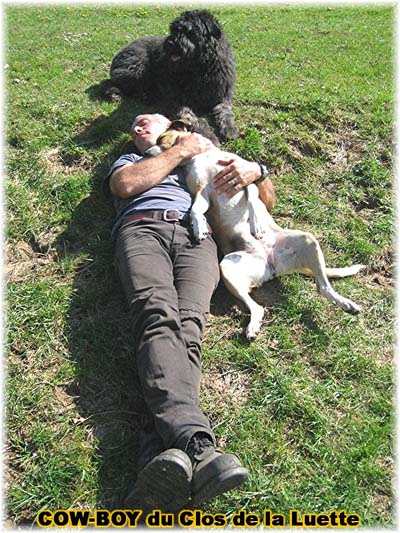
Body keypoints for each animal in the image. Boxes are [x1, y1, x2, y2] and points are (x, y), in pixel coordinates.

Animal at [104, 9, 239, 141]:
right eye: (173, 29)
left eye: (189, 31)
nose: (169, 43)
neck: (201, 67)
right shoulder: (176, 100)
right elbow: (192, 117)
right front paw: (208, 135)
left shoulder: (223, 96)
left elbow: (225, 112)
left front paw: (229, 129)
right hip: (135, 69)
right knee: (112, 82)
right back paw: (115, 93)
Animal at [148, 125, 364, 336]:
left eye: (161, 139)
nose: (147, 153)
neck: (202, 155)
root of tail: (272, 263)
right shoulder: (202, 192)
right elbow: (194, 209)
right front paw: (199, 226)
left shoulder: (242, 177)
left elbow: (251, 196)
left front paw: (255, 223)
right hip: (228, 268)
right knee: (260, 307)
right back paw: (253, 326)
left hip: (307, 240)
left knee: (323, 287)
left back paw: (346, 304)